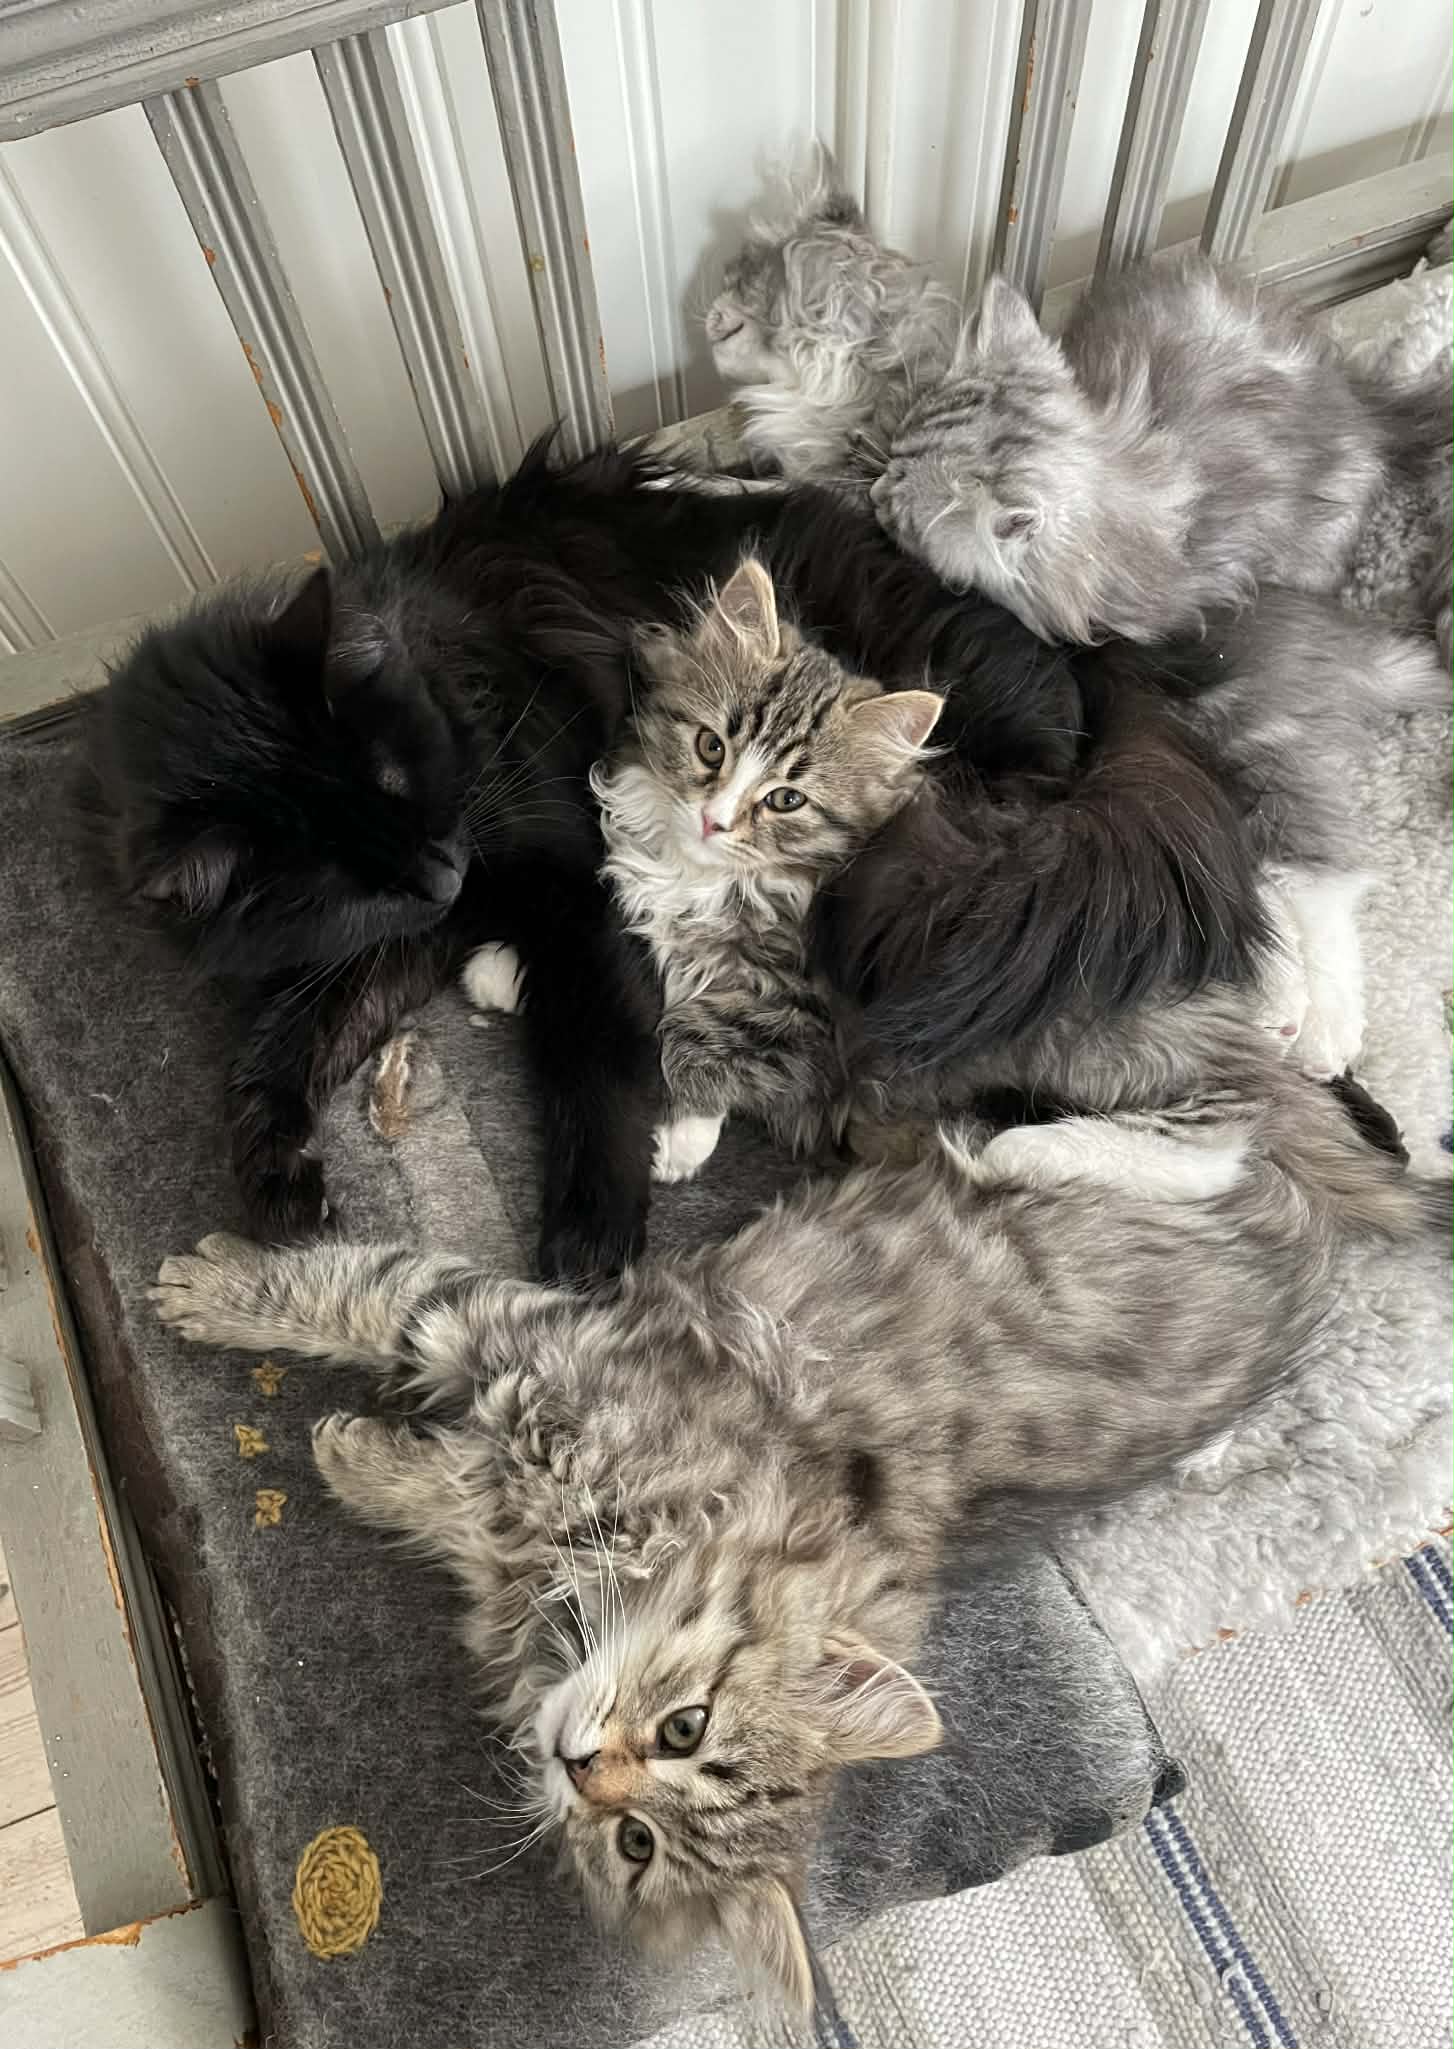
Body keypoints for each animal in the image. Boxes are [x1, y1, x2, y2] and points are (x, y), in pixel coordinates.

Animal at [151, 1042, 1444, 2009]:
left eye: (635, 1844)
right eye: (684, 1727)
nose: (582, 1770)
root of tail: (1310, 1248)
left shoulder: (527, 1388)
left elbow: (442, 1454)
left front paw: (360, 1458)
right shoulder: (533, 1343)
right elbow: (354, 1290)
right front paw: (218, 1293)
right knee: (1205, 1112)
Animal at [590, 556, 940, 1183]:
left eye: (786, 800)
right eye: (711, 747)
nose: (715, 822)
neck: (699, 877)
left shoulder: (811, 1017)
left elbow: (700, 1032)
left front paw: (679, 1140)